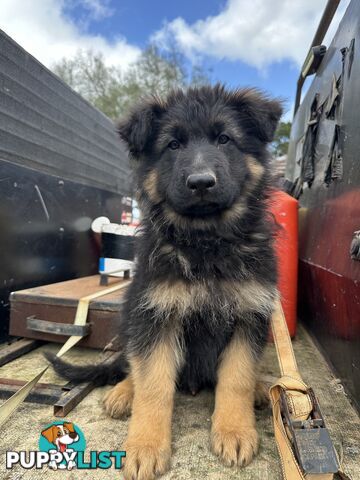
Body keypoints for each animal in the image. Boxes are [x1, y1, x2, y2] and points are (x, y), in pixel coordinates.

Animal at [49, 85, 282, 480]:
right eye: (173, 145)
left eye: (224, 139)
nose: (201, 183)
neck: (206, 242)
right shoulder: (156, 316)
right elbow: (153, 384)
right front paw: (145, 445)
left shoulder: (249, 315)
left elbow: (236, 378)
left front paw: (235, 431)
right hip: (130, 317)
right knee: (131, 363)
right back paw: (123, 392)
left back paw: (260, 388)